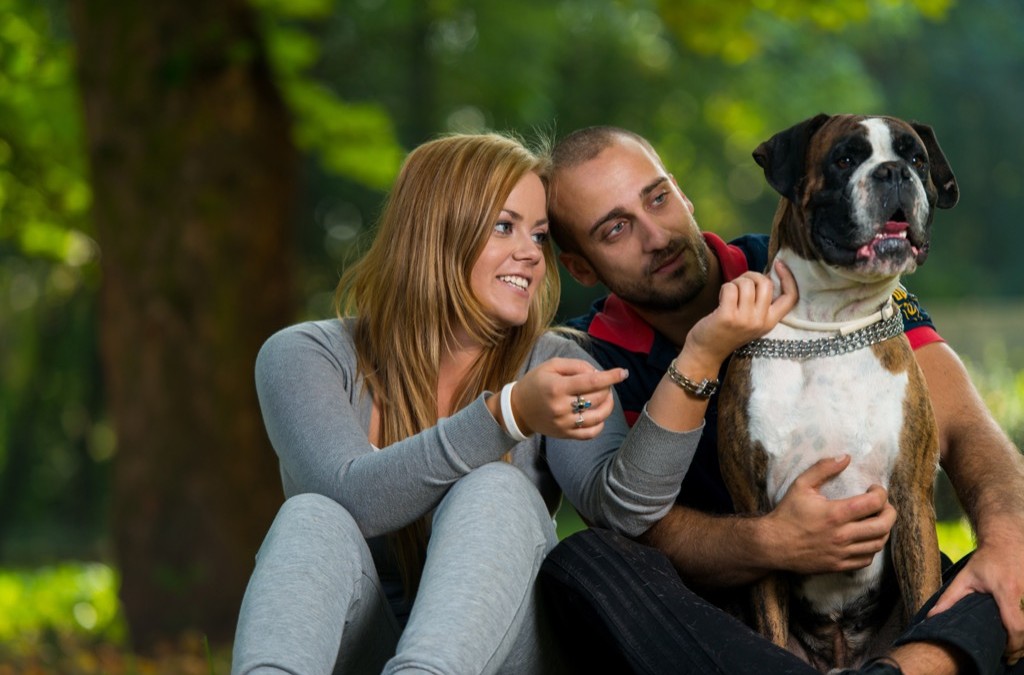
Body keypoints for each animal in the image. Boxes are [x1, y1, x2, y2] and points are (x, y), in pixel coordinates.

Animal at [720, 114, 958, 671]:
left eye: (916, 159)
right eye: (845, 159)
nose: (893, 172)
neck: (829, 329)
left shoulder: (911, 501)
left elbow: (924, 600)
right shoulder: (758, 519)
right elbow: (769, 622)